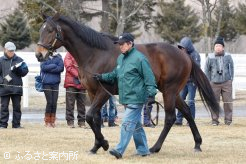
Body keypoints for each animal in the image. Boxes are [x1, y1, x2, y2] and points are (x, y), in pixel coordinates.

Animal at [35, 13, 220, 154]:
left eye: (50, 30)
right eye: (41, 30)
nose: (39, 54)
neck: (95, 54)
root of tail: (184, 54)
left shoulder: (104, 92)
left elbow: (89, 116)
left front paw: (104, 143)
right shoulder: (92, 93)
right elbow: (95, 118)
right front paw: (97, 146)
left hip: (169, 91)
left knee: (170, 118)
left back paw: (155, 147)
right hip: (173, 92)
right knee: (187, 112)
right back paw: (197, 144)